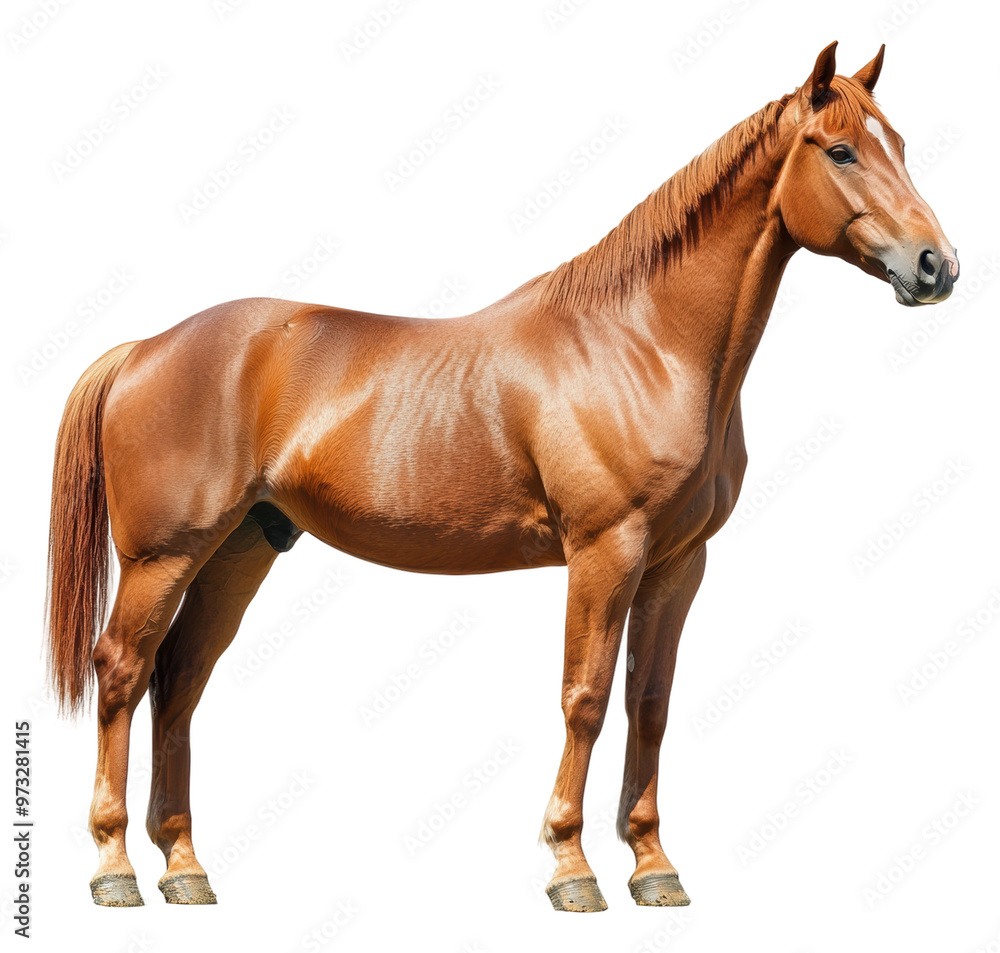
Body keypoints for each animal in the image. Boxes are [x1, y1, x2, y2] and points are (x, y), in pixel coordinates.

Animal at [46, 40, 958, 911]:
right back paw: (115, 866)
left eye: (901, 145)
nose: (936, 266)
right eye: (839, 149)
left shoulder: (677, 562)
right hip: (164, 556)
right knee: (122, 671)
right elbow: (585, 696)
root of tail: (146, 347)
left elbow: (650, 701)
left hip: (240, 550)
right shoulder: (604, 551)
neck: (643, 342)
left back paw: (185, 868)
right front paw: (571, 867)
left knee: (179, 681)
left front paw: (654, 866)